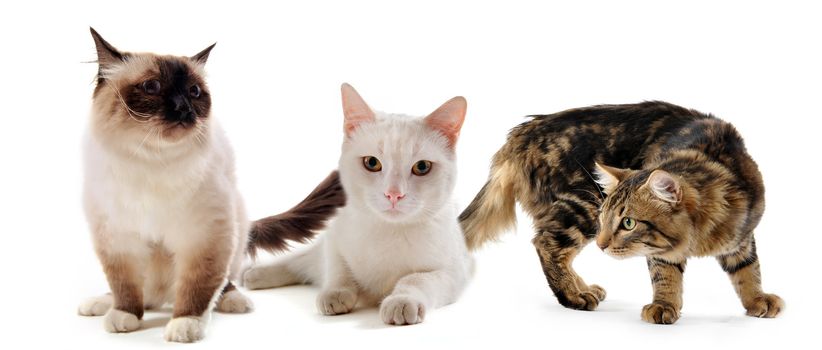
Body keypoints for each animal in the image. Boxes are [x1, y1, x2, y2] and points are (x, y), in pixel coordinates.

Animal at [79, 28, 342, 344]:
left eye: (194, 92)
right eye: (152, 86)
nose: (183, 108)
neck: (151, 162)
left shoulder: (203, 236)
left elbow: (198, 286)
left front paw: (185, 324)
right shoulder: (117, 240)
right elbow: (124, 285)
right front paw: (125, 314)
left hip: (236, 226)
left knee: (224, 281)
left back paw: (234, 300)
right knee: (142, 294)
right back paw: (101, 304)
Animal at [241, 84, 474, 326]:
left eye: (422, 167)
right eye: (372, 163)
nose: (394, 194)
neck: (387, 231)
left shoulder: (453, 271)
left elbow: (416, 279)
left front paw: (401, 301)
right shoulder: (334, 238)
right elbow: (338, 268)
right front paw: (337, 292)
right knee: (299, 261)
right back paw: (255, 273)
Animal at [464, 100, 784, 322]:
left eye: (628, 223)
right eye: (611, 220)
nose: (603, 244)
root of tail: (522, 134)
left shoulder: (742, 236)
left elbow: (748, 271)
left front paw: (757, 300)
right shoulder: (661, 253)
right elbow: (665, 277)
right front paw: (664, 306)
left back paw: (583, 287)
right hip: (581, 206)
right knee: (547, 245)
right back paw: (574, 296)